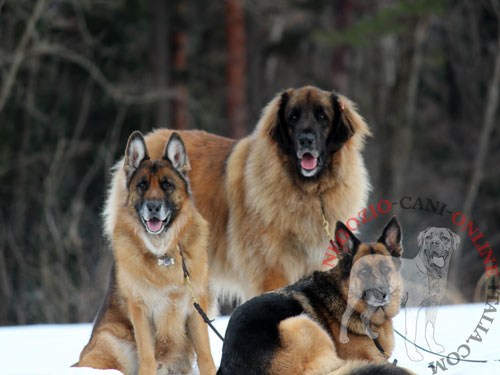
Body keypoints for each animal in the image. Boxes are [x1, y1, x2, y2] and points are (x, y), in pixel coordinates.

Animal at [76, 132, 215, 375]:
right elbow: (148, 358)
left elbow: (206, 356)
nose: (153, 207)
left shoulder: (195, 308)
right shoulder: (141, 311)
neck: (163, 253)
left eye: (167, 185)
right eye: (142, 185)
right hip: (115, 341)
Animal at [105, 86, 372, 302]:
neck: (309, 193)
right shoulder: (271, 270)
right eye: (293, 117)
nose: (306, 140)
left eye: (322, 116)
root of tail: (149, 137)